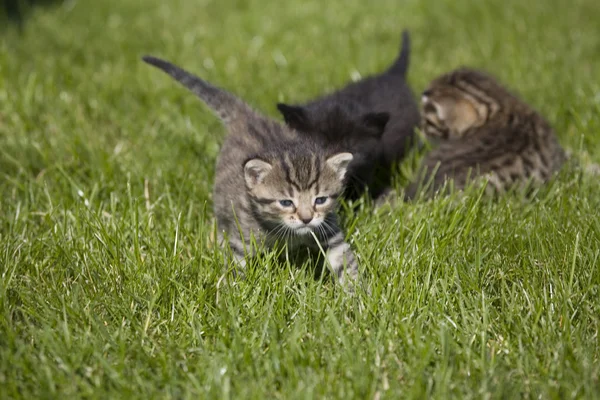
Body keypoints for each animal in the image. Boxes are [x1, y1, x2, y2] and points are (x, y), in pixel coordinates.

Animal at [143, 54, 364, 290]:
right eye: (286, 202)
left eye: (320, 200)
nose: (306, 219)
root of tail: (249, 119)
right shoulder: (242, 236)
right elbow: (235, 265)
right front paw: (231, 293)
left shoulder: (330, 232)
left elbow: (345, 262)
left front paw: (357, 294)